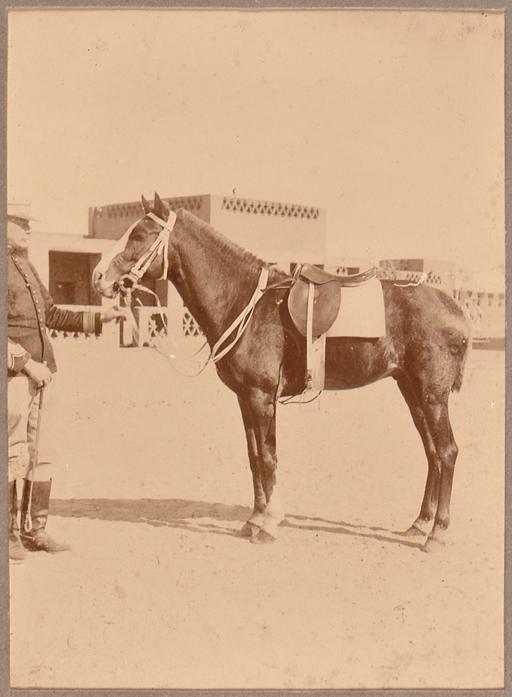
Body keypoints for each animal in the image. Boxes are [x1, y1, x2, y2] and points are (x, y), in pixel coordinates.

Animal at [92, 192, 471, 552]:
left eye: (139, 234)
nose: (98, 277)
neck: (247, 301)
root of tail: (454, 307)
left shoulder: (262, 397)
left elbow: (268, 457)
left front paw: (269, 524)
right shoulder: (246, 398)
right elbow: (254, 458)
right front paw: (254, 520)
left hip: (432, 397)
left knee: (448, 452)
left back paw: (437, 534)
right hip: (412, 392)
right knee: (433, 453)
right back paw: (420, 523)